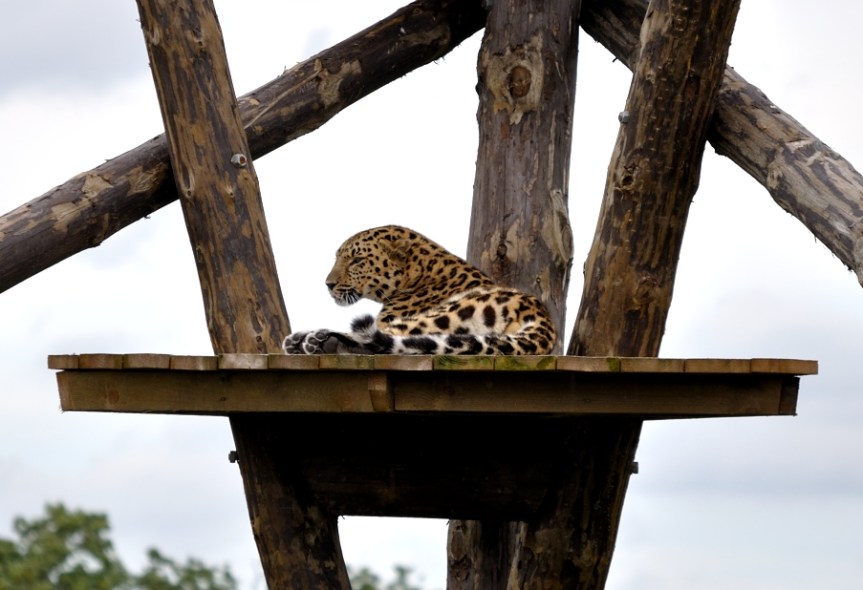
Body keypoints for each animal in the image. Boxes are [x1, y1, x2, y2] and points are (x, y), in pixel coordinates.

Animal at [282, 225, 557, 355]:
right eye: (338, 258)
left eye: (357, 261)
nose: (328, 284)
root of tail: (544, 321)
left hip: (443, 315)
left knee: (386, 338)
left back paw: (315, 341)